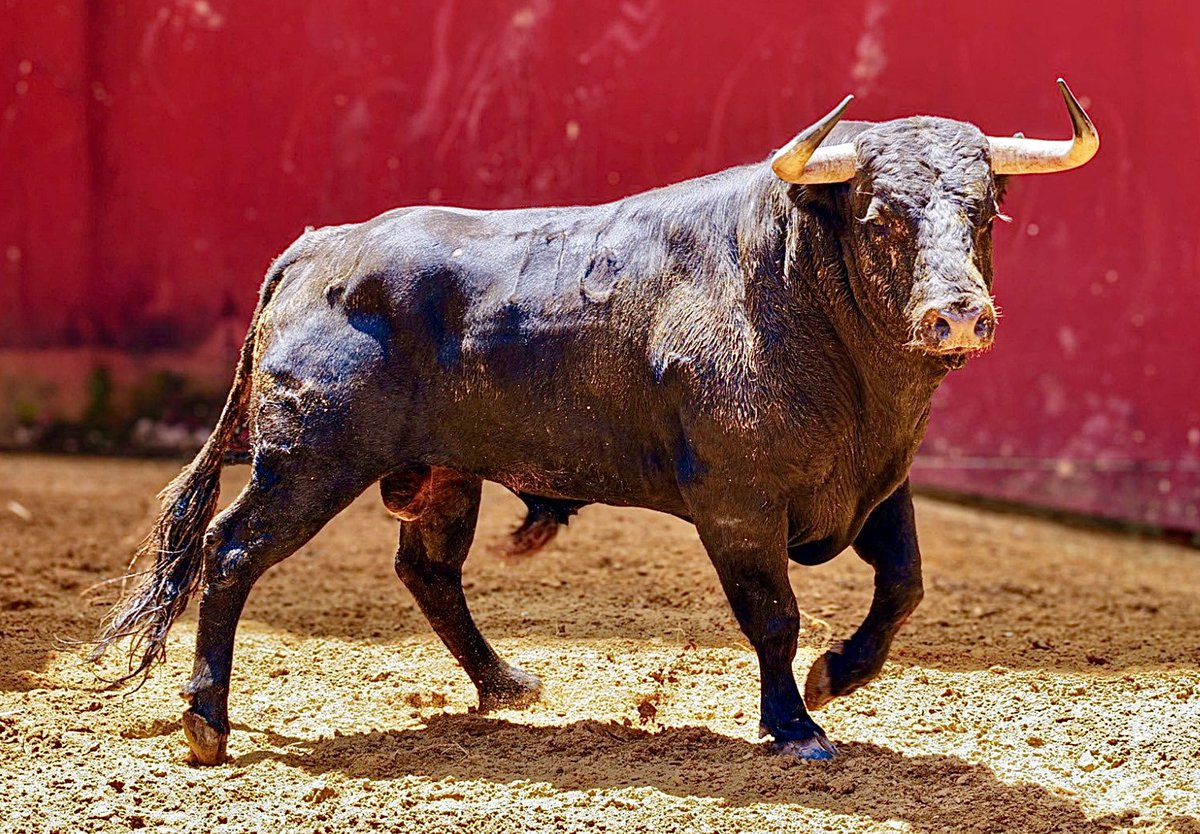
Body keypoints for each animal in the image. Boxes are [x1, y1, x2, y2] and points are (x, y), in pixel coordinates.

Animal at [94, 80, 1097, 765]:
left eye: (987, 212)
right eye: (882, 217)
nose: (957, 316)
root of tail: (319, 247)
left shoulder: (877, 486)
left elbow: (903, 588)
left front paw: (835, 676)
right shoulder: (739, 504)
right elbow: (774, 615)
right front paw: (795, 725)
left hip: (443, 474)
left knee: (426, 570)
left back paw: (505, 684)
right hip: (305, 463)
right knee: (229, 552)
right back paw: (206, 723)